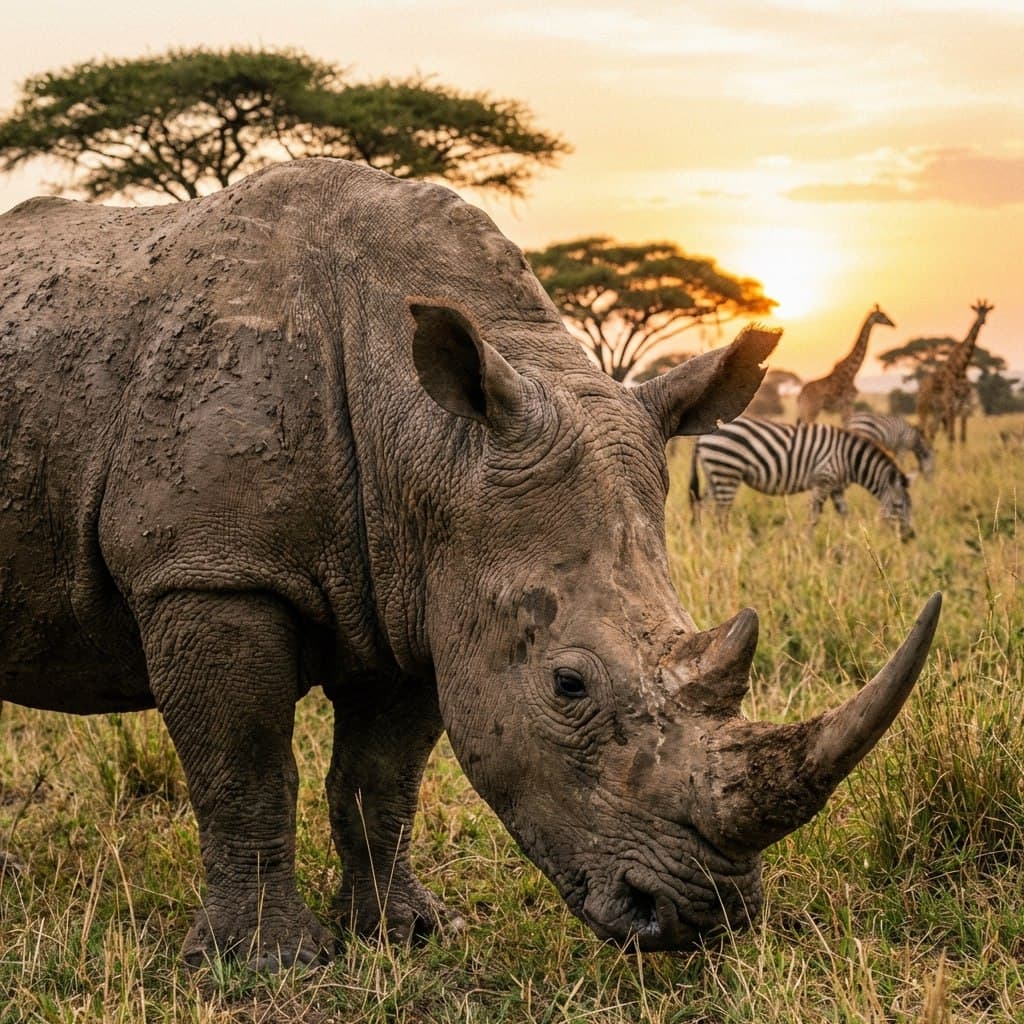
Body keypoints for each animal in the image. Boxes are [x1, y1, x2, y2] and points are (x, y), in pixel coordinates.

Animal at [0, 159, 940, 969]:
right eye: (569, 685)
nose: (699, 918)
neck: (431, 441)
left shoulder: (425, 588)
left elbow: (382, 780)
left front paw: (409, 932)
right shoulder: (209, 568)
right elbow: (247, 766)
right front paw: (267, 962)